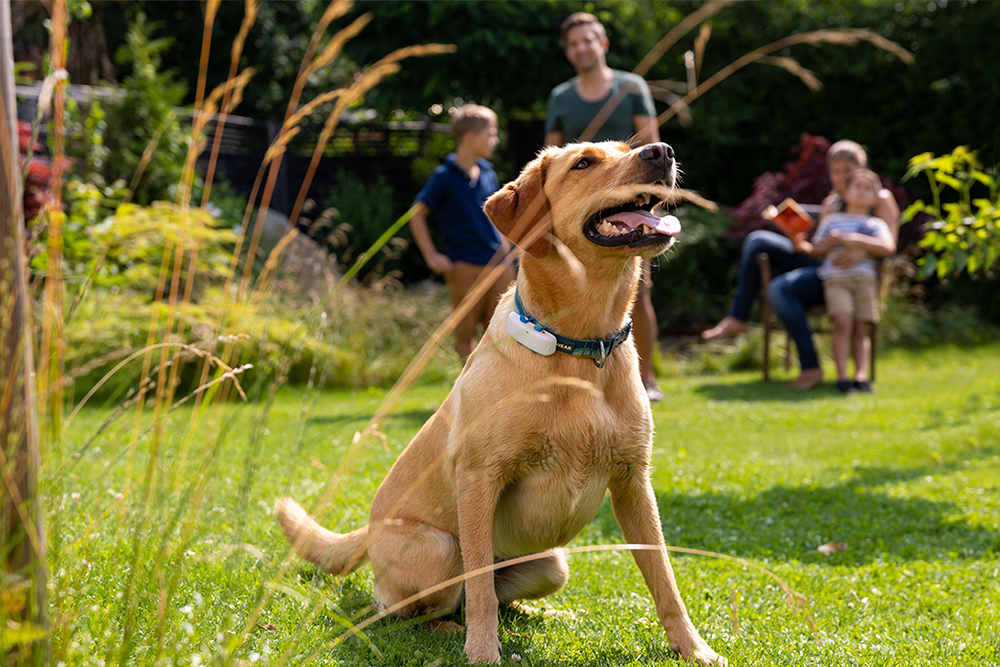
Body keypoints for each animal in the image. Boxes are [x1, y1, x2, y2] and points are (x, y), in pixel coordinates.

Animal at [274, 140, 728, 664]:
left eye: (628, 148)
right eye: (584, 163)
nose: (662, 150)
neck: (580, 347)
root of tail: (367, 531)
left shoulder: (635, 481)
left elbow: (665, 580)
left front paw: (693, 647)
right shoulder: (479, 478)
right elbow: (480, 590)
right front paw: (483, 652)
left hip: (553, 563)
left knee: (494, 595)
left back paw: (543, 614)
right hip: (439, 549)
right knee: (404, 607)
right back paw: (446, 630)